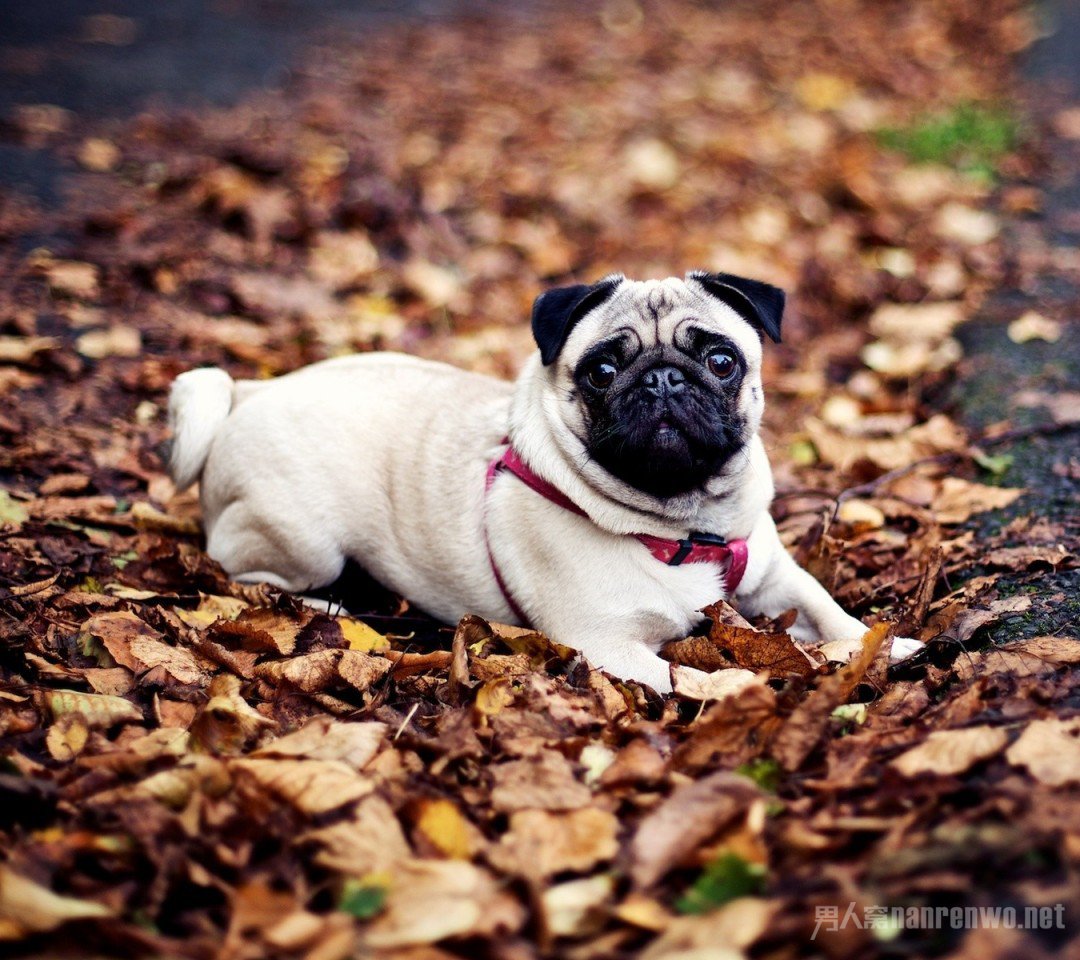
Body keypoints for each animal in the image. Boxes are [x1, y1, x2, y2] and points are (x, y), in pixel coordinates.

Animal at [168, 269, 920, 691]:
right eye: (603, 371)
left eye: (720, 360)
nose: (663, 379)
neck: (681, 525)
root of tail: (250, 392)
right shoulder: (611, 647)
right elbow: (715, 677)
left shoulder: (775, 578)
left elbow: (831, 611)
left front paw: (890, 646)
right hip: (302, 540)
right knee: (238, 568)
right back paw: (322, 605)